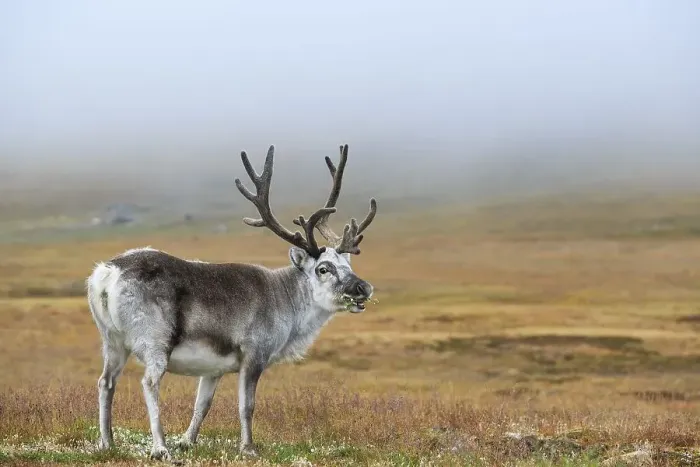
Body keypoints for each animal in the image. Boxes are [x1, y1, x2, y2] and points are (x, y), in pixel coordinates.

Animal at [85, 144, 377, 461]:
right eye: (323, 268)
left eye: (348, 263)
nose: (364, 287)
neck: (286, 298)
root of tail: (108, 272)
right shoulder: (254, 355)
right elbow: (246, 406)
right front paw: (248, 448)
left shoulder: (213, 369)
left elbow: (202, 405)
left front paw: (187, 441)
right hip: (155, 342)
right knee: (149, 383)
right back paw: (160, 448)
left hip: (112, 340)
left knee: (105, 382)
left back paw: (107, 443)